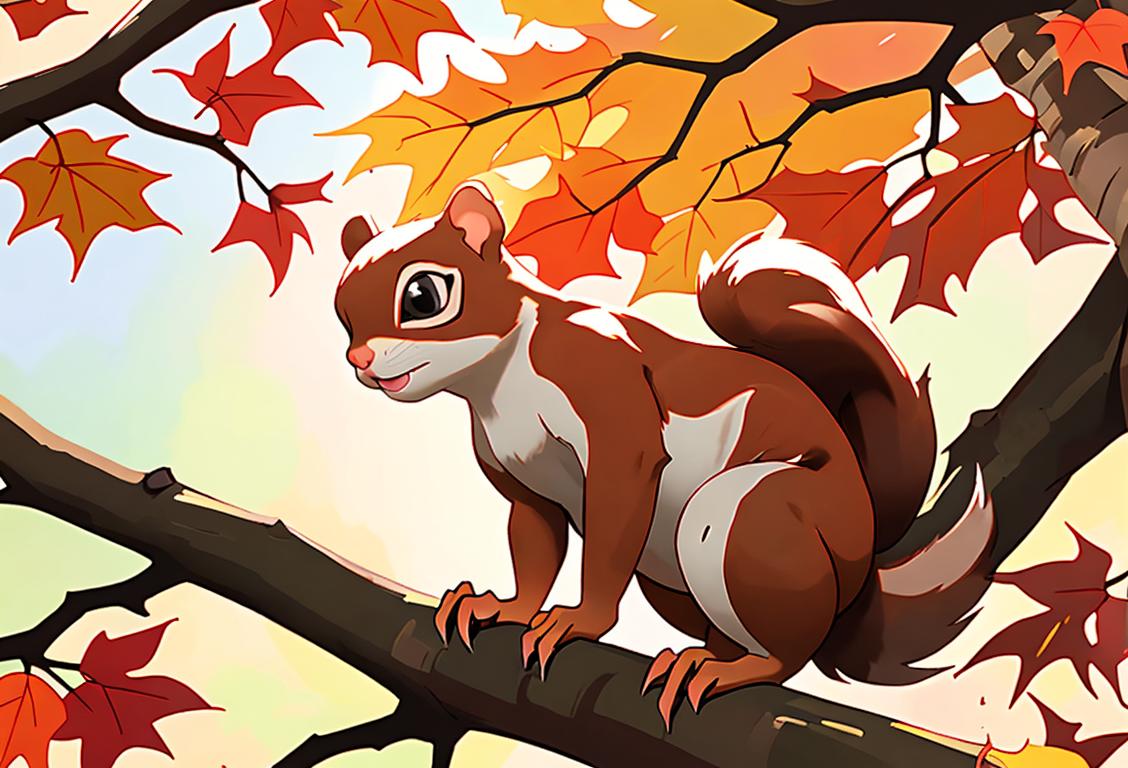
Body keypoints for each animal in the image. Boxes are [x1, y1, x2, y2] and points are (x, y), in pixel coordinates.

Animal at [334, 185, 995, 727]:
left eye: (423, 296)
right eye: (341, 312)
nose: (359, 362)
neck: (499, 380)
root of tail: (860, 565)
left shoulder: (609, 404)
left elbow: (606, 536)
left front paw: (577, 622)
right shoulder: (521, 481)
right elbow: (535, 544)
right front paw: (508, 608)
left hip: (750, 517)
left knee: (788, 649)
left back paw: (729, 669)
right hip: (669, 575)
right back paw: (698, 655)